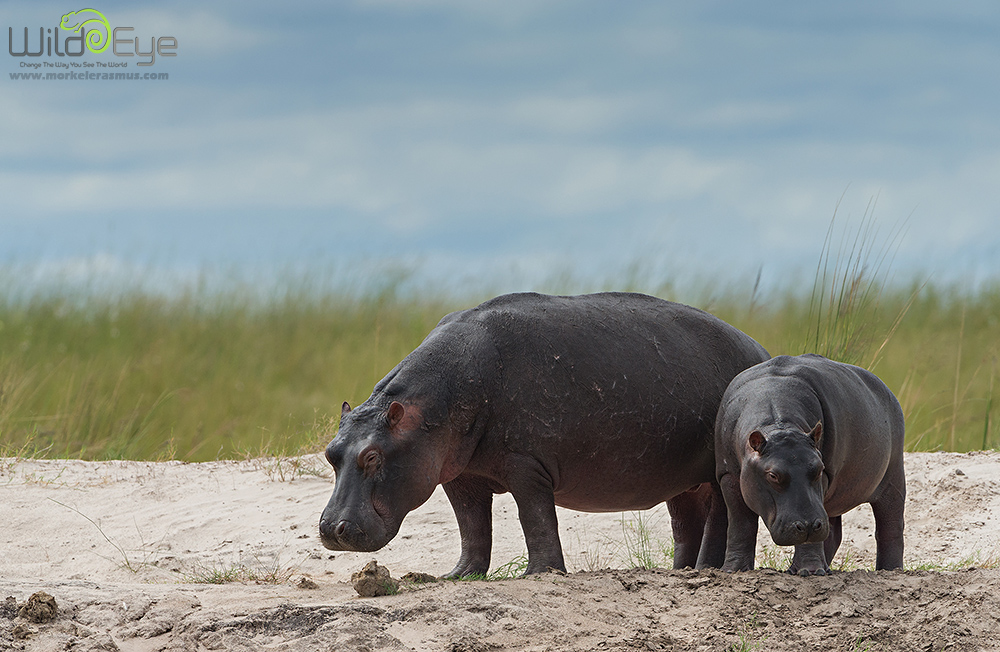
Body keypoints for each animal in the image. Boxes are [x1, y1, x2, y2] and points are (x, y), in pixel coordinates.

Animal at [319, 292, 770, 577]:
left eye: (373, 456)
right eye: (330, 453)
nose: (331, 529)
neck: (431, 405)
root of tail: (761, 348)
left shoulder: (525, 465)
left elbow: (535, 517)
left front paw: (541, 573)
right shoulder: (459, 476)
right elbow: (472, 527)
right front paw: (457, 575)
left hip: (717, 470)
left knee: (720, 515)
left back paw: (708, 569)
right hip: (681, 479)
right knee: (685, 521)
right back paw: (680, 571)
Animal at [714, 354, 906, 575]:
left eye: (819, 468)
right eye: (772, 475)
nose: (808, 526)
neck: (779, 424)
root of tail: (888, 390)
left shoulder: (825, 477)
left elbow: (811, 537)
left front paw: (811, 571)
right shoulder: (729, 476)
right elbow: (740, 524)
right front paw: (732, 570)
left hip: (893, 478)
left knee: (890, 526)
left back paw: (890, 570)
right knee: (834, 533)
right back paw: (817, 568)